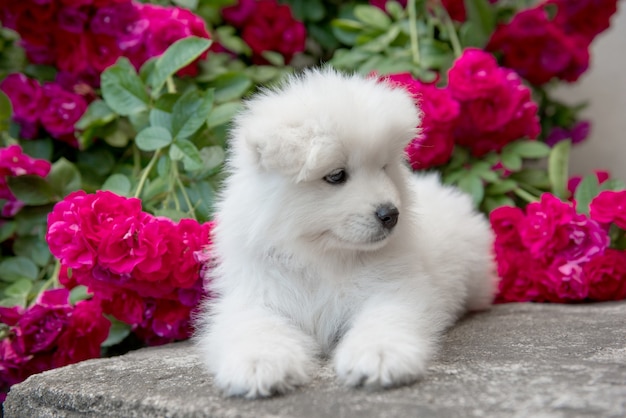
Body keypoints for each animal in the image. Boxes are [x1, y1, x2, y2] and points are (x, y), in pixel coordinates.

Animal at [193, 68, 494, 398]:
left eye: (384, 167)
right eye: (336, 175)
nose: (391, 214)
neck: (322, 256)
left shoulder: (393, 286)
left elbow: (384, 319)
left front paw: (379, 358)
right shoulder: (255, 293)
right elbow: (256, 327)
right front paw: (260, 365)